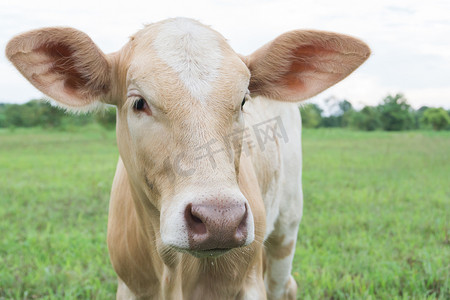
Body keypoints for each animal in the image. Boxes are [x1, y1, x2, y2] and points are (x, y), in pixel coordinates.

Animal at [6, 17, 370, 298]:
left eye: (243, 100)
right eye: (138, 102)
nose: (220, 220)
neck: (173, 268)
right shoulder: (131, 287)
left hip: (287, 228)